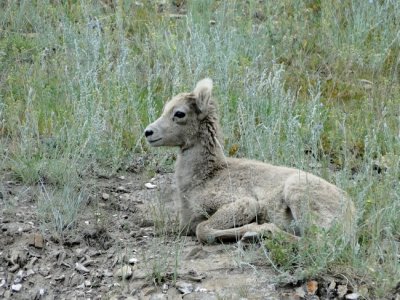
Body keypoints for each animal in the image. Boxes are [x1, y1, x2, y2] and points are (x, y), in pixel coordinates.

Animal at [145, 78, 356, 244]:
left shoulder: (244, 204)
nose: (148, 132)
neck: (205, 176)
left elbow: (203, 230)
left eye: (179, 113)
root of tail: (350, 211)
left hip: (299, 196)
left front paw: (254, 228)